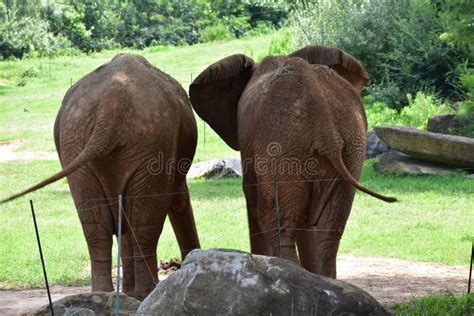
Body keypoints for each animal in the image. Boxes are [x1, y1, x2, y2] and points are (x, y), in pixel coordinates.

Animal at [1, 53, 199, 300]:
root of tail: (111, 102)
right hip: (150, 142)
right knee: (143, 224)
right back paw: (144, 293)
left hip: (78, 141)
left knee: (97, 224)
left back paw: (104, 295)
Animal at [189, 45, 396, 278]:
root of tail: (326, 128)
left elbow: (252, 196)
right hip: (349, 148)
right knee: (329, 228)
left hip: (283, 148)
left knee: (275, 220)